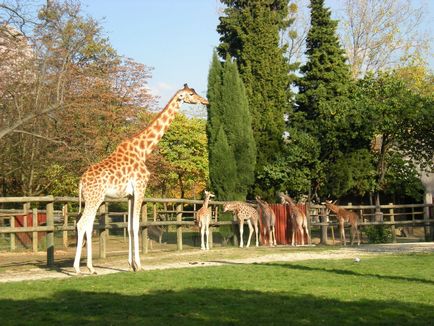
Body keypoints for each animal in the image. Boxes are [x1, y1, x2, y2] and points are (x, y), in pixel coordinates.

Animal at [73, 83, 209, 272]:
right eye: (190, 94)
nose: (206, 101)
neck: (143, 151)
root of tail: (81, 182)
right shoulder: (140, 187)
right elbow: (136, 225)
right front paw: (139, 265)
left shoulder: (130, 194)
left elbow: (130, 226)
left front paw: (132, 265)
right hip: (95, 198)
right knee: (82, 224)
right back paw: (80, 268)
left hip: (92, 199)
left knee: (87, 224)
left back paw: (90, 268)